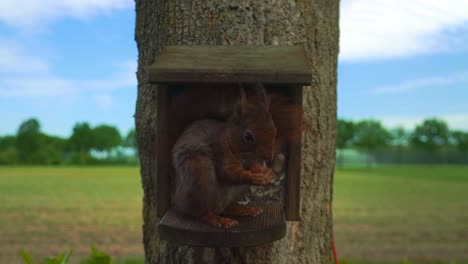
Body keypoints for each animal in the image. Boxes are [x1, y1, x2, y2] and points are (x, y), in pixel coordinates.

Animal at [171, 83, 274, 229]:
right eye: (248, 136)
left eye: (274, 128)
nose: (269, 157)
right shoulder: (220, 149)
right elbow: (228, 172)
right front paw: (255, 177)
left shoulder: (252, 160)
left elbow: (253, 166)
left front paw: (266, 172)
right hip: (199, 176)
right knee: (200, 212)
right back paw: (217, 219)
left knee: (228, 208)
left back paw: (245, 209)